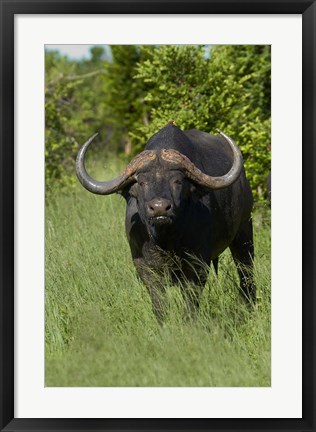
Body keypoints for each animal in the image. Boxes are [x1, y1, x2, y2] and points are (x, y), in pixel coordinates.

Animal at [77, 123, 256, 318]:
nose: (159, 207)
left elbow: (190, 300)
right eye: (142, 182)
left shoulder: (197, 263)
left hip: (244, 230)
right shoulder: (144, 266)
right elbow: (158, 302)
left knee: (246, 270)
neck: (165, 241)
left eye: (177, 181)